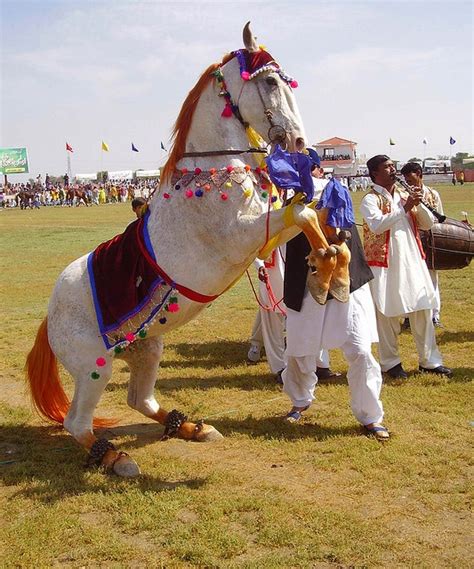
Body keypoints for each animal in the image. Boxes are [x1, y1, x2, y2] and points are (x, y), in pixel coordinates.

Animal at [26, 22, 352, 474]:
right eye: (270, 82)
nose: (301, 143)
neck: (212, 173)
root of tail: (49, 316)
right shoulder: (244, 237)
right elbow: (304, 214)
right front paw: (323, 272)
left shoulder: (267, 233)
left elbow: (312, 214)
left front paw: (333, 270)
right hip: (94, 366)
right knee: (77, 422)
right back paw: (115, 456)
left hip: (147, 349)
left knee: (139, 399)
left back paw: (190, 427)